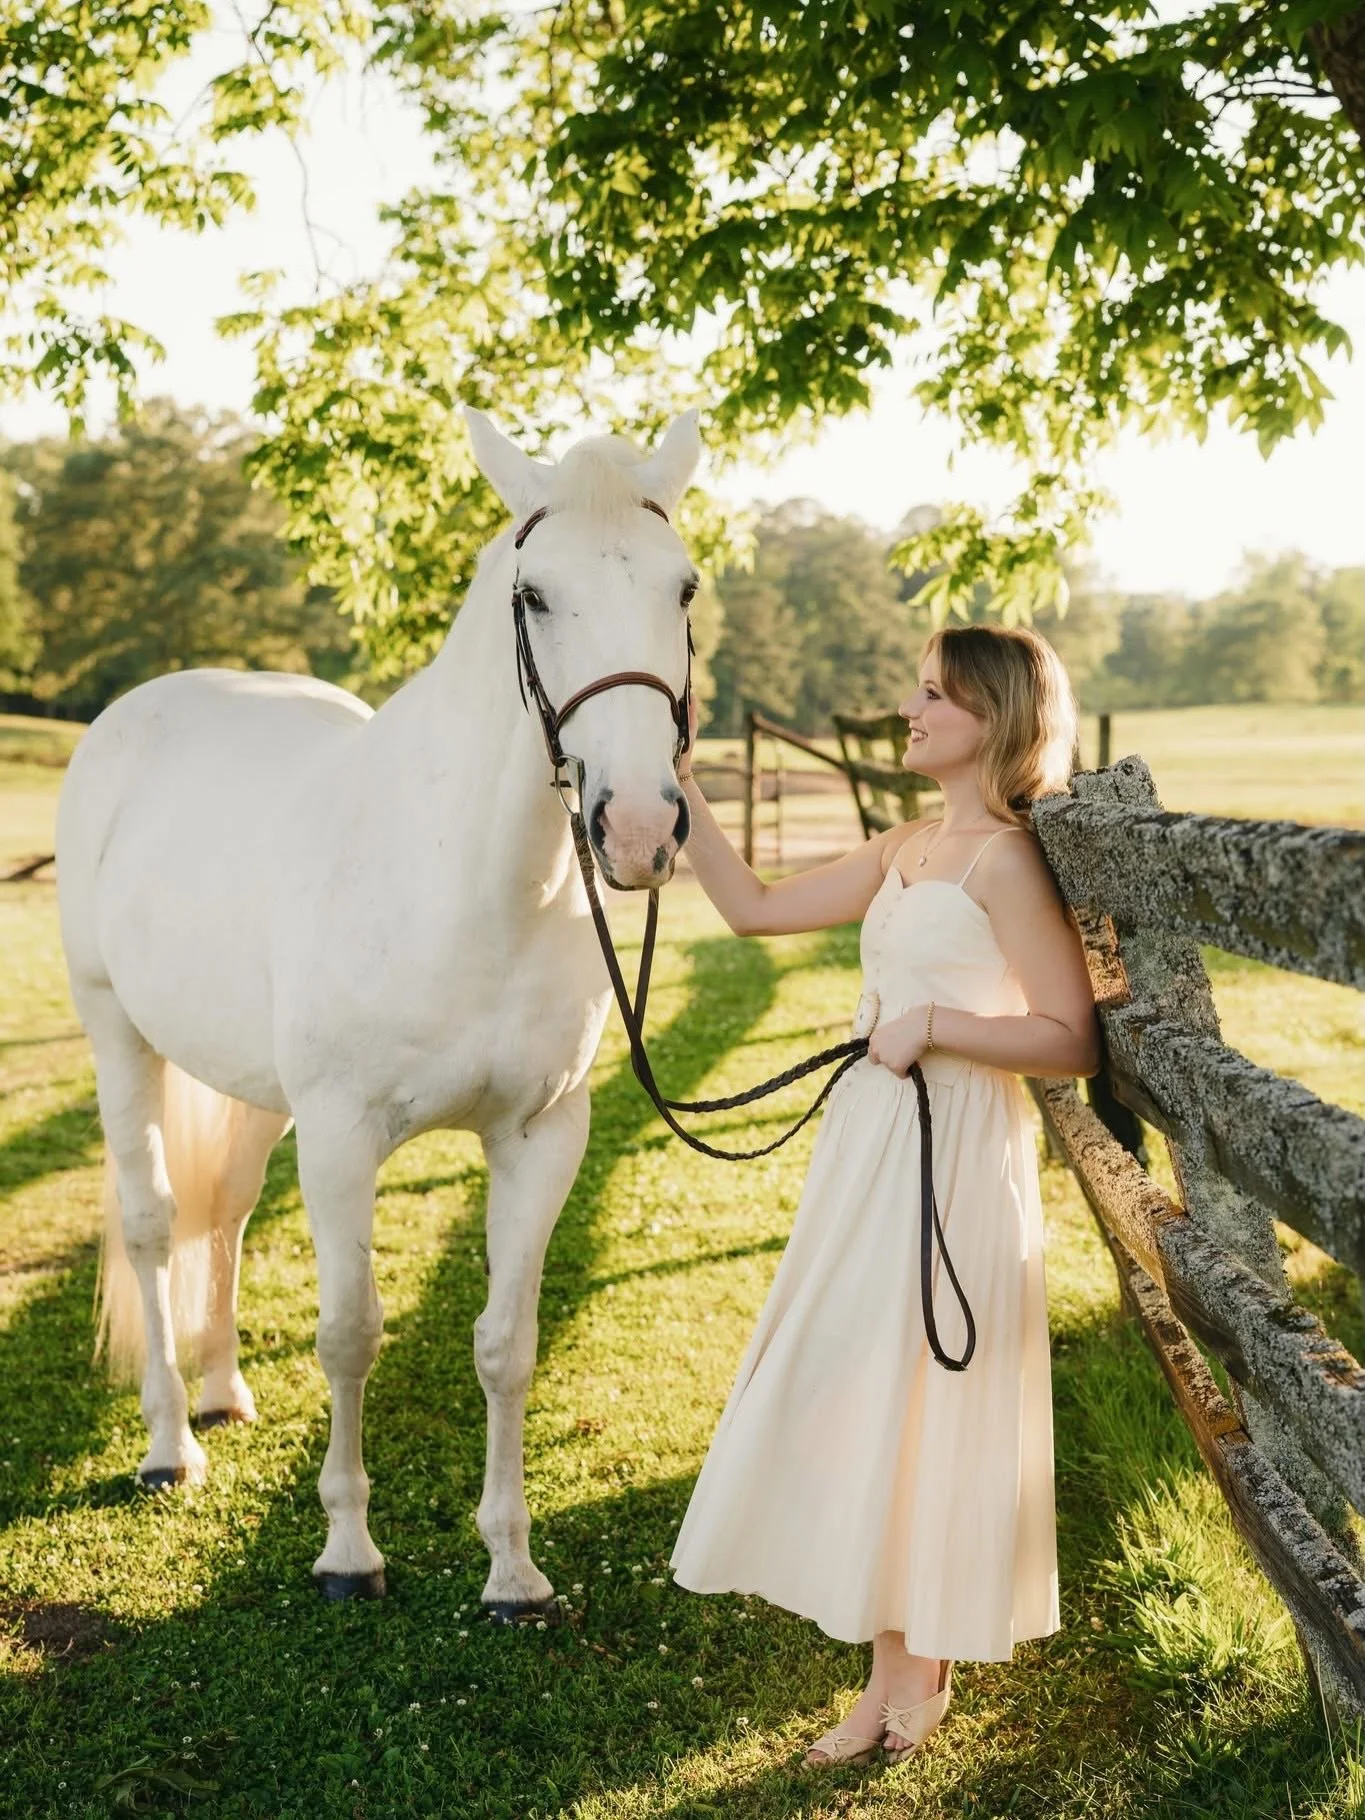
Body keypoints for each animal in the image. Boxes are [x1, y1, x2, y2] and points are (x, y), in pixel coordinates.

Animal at [55, 407, 702, 1615]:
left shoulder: (541, 1137)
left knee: (228, 1213)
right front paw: (348, 1551)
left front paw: (511, 1566)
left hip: (251, 1091)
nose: (638, 826)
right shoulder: (345, 1136)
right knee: (156, 1222)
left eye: (682, 586)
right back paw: (170, 1443)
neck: (468, 887)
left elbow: (508, 1344)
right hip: (119, 1036)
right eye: (534, 593)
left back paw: (221, 1392)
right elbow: (352, 1334)